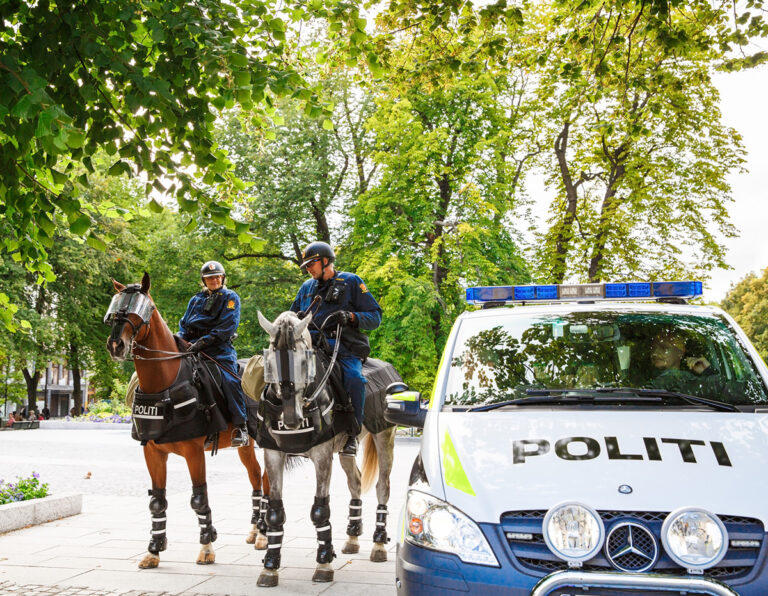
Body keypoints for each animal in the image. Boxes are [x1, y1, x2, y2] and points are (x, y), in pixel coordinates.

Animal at [105, 274, 268, 568]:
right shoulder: (153, 452)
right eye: (116, 307)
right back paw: (255, 530)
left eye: (141, 309)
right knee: (256, 477)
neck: (164, 381)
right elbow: (157, 501)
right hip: (246, 446)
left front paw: (207, 546)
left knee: (268, 481)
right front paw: (154, 549)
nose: (116, 345)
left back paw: (263, 534)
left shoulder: (194, 452)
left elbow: (199, 499)